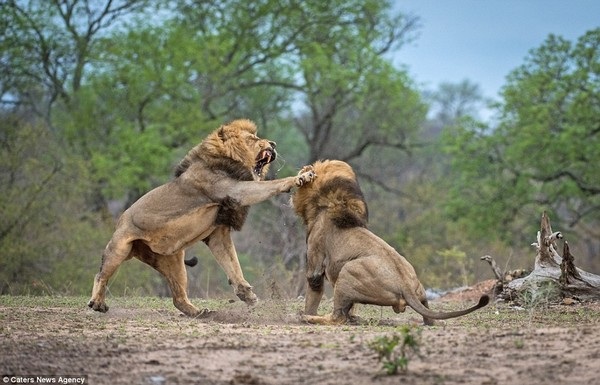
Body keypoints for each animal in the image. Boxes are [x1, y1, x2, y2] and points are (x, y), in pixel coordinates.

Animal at [88, 119, 318, 316]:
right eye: (253, 138)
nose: (273, 143)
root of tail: (119, 220)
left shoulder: (218, 233)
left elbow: (232, 264)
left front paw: (247, 294)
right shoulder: (237, 191)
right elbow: (271, 184)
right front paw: (301, 177)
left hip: (174, 263)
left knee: (178, 298)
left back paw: (199, 312)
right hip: (119, 247)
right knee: (100, 275)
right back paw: (97, 303)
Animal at [290, 159, 488, 324]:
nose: (303, 170)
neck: (326, 203)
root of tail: (407, 287)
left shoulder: (315, 262)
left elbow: (313, 291)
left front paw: (307, 312)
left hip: (348, 271)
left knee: (337, 317)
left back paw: (307, 317)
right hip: (420, 291)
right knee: (430, 319)